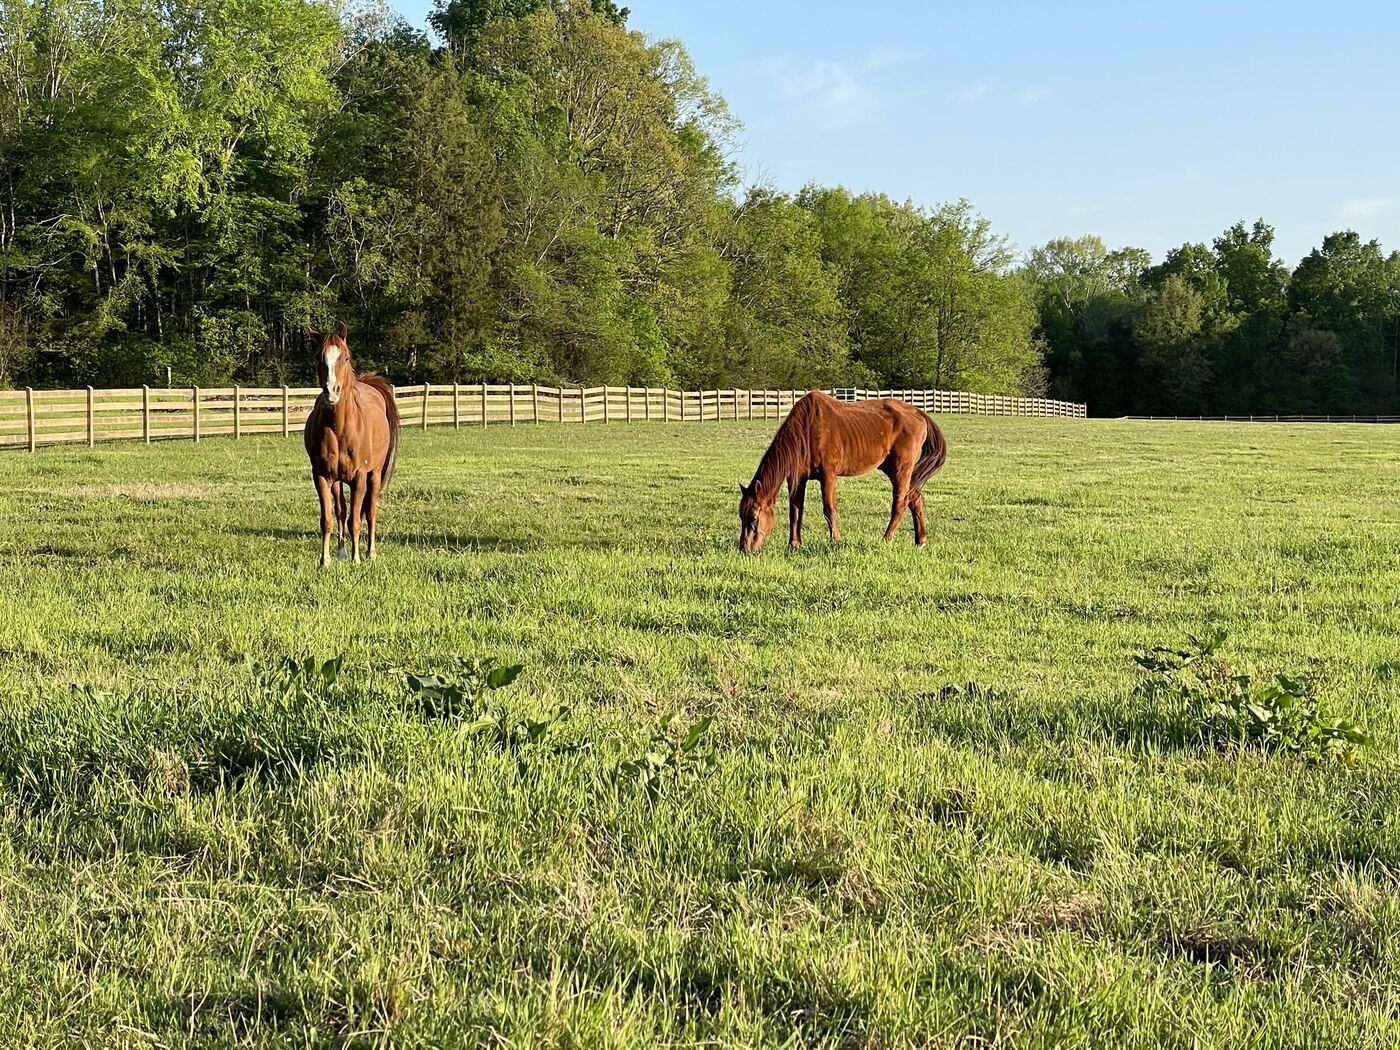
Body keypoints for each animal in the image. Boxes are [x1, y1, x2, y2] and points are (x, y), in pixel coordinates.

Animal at [304, 322, 400, 567]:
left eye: (345, 357)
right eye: (318, 357)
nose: (332, 391)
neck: (339, 428)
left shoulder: (359, 477)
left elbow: (356, 520)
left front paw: (357, 560)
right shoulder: (321, 476)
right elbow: (328, 519)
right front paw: (325, 560)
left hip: (375, 475)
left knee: (370, 510)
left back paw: (370, 553)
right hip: (337, 480)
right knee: (341, 510)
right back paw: (341, 551)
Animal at [738, 390, 947, 553]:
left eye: (754, 518)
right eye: (741, 515)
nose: (744, 549)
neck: (807, 428)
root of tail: (918, 413)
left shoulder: (828, 474)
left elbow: (829, 508)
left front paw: (836, 540)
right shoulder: (797, 478)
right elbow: (796, 510)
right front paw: (794, 544)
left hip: (900, 468)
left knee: (900, 502)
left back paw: (886, 538)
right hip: (891, 468)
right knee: (915, 499)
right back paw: (921, 540)